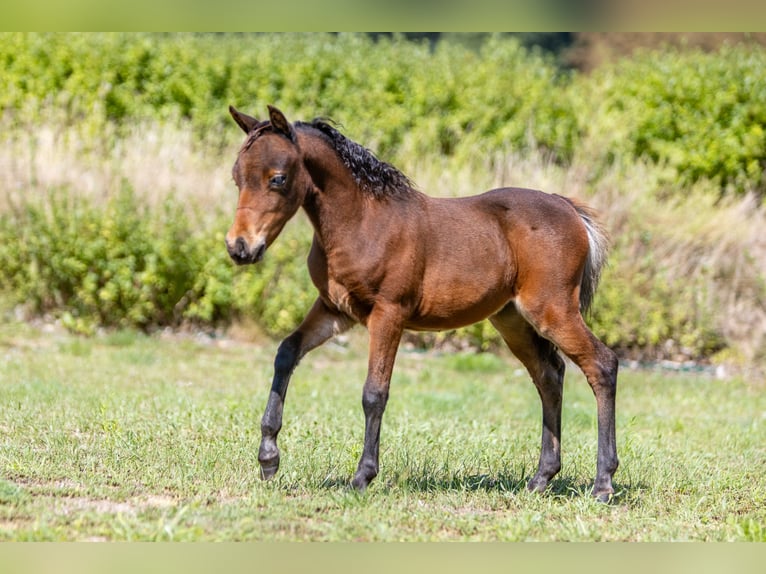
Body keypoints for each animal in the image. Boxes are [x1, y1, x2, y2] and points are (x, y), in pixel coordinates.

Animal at [225, 106, 620, 502]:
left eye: (277, 178)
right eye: (236, 177)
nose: (240, 247)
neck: (362, 222)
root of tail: (568, 208)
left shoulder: (388, 314)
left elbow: (374, 392)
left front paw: (362, 477)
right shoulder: (334, 310)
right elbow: (287, 352)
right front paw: (268, 459)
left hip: (553, 311)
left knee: (602, 364)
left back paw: (603, 482)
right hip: (513, 321)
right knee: (549, 376)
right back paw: (541, 478)